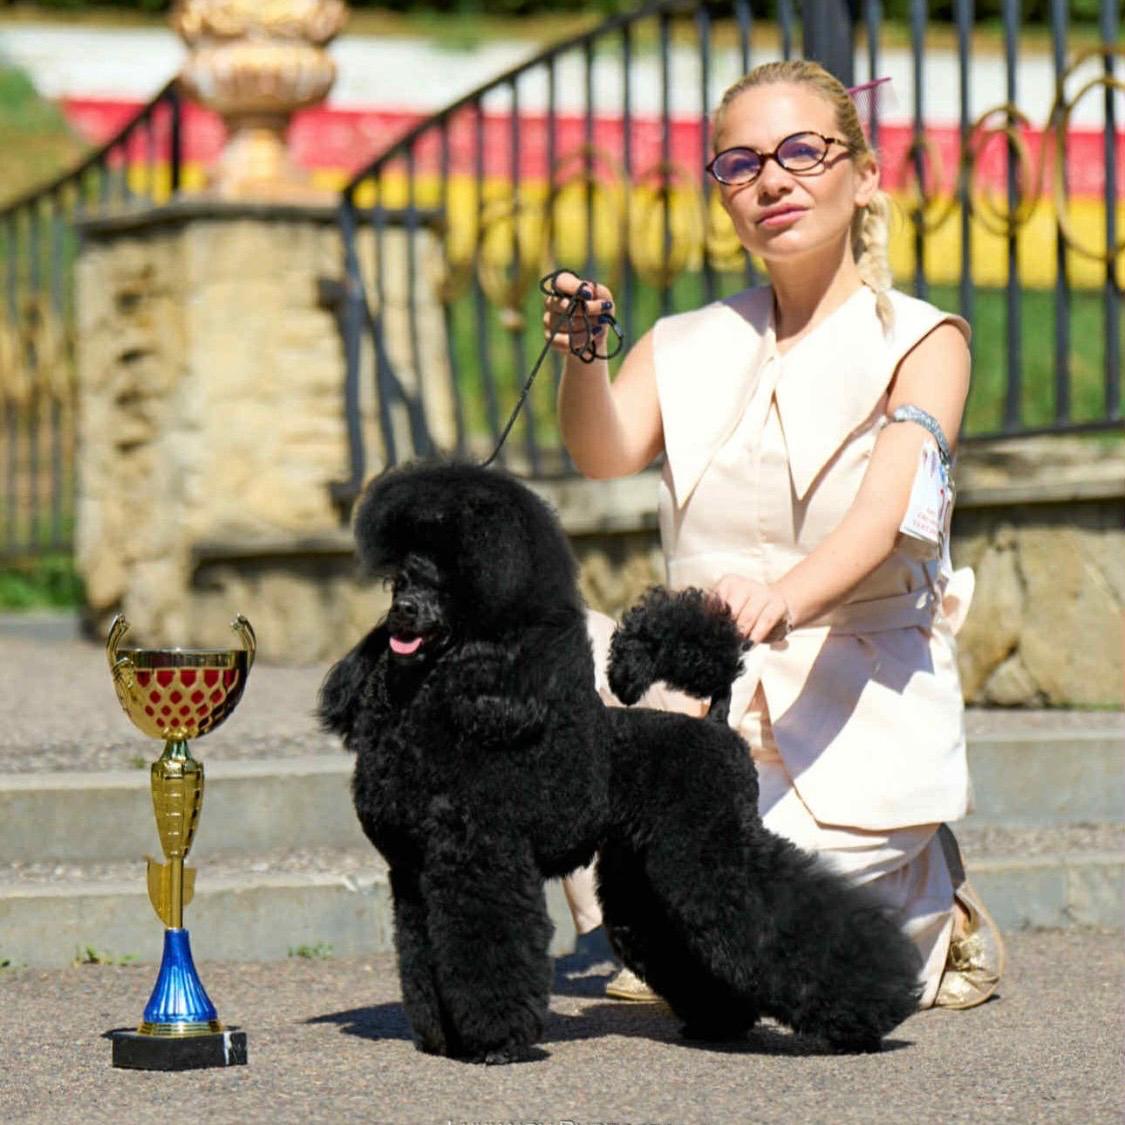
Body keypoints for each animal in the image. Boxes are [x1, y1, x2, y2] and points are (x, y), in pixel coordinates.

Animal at [320, 461, 920, 1063]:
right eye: (401, 580)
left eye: (447, 582)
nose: (404, 612)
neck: (430, 714)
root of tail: (715, 722)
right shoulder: (412, 873)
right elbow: (421, 955)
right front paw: (441, 1039)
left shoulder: (481, 860)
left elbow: (486, 950)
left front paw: (496, 1043)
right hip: (648, 870)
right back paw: (721, 1020)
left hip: (711, 847)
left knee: (781, 916)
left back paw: (871, 1009)